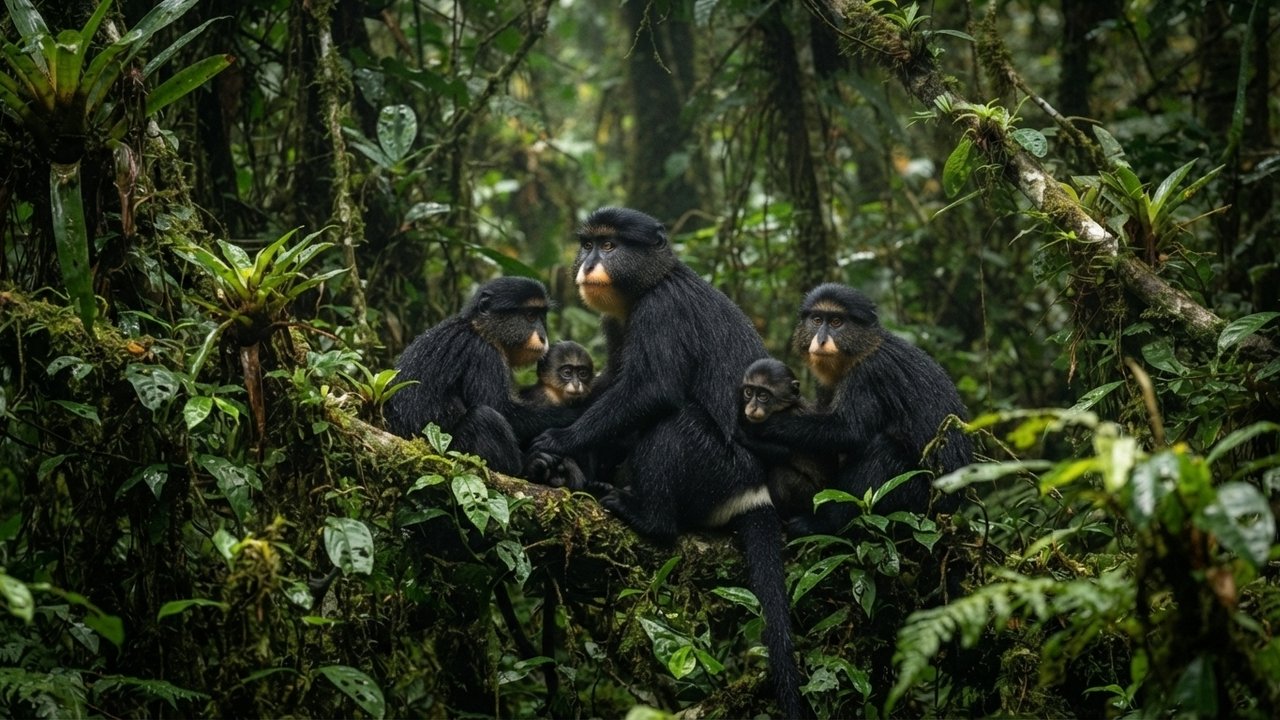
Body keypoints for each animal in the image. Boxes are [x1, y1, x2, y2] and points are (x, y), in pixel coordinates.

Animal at [385, 276, 576, 476]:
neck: (482, 331)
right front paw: (573, 414)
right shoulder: (482, 355)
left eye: (541, 316)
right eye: (530, 315)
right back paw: (526, 468)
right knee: (483, 416)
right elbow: (502, 410)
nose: (543, 337)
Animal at [524, 207, 806, 719]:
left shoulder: (661, 312)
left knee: (670, 425)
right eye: (588, 244)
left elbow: (651, 391)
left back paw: (645, 514)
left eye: (610, 247)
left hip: (717, 470)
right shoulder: (617, 324)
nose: (588, 264)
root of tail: (755, 491)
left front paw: (560, 440)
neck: (649, 284)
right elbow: (612, 382)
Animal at [740, 358, 835, 523]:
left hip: (812, 498)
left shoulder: (784, 421)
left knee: (782, 475)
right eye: (748, 392)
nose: (751, 407)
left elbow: (782, 452)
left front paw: (741, 433)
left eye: (763, 396)